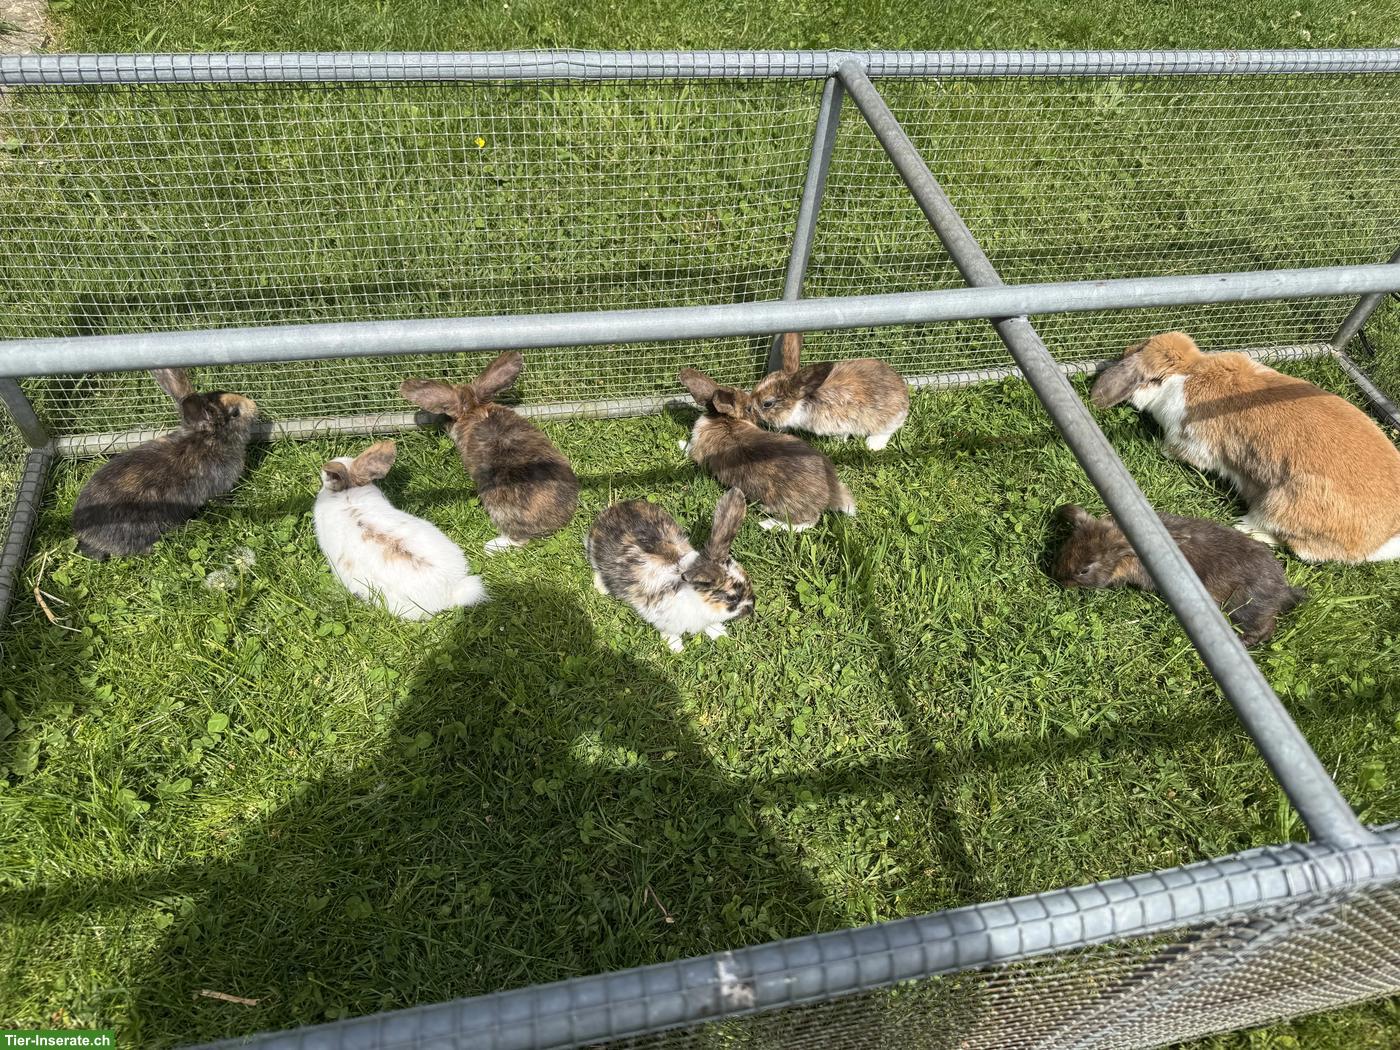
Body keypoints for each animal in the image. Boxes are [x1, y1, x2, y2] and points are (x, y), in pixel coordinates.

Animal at [587, 487, 754, 652]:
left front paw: (720, 634)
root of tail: (610, 511)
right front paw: (676, 648)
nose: (751, 609)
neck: (697, 600)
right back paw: (602, 587)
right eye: (731, 598)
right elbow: (670, 632)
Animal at [676, 367, 855, 532]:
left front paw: (680, 443)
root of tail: (830, 493)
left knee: (807, 521)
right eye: (750, 407)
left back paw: (767, 523)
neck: (725, 420)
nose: (758, 419)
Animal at [752, 332, 909, 450]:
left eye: (767, 403)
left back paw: (872, 445)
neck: (802, 403)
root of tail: (903, 393)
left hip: (885, 420)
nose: (750, 409)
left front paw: (837, 442)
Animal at [1053, 504, 1308, 646]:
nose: (1059, 579)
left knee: (1265, 627)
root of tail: (1283, 590)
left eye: (1084, 570)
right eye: (1065, 548)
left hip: (1246, 608)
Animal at [1091, 330, 1400, 564]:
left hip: (1281, 505)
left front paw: (1160, 448)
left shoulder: (1191, 442)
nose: (1123, 350)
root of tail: (1381, 540)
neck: (1188, 371)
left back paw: (1245, 527)